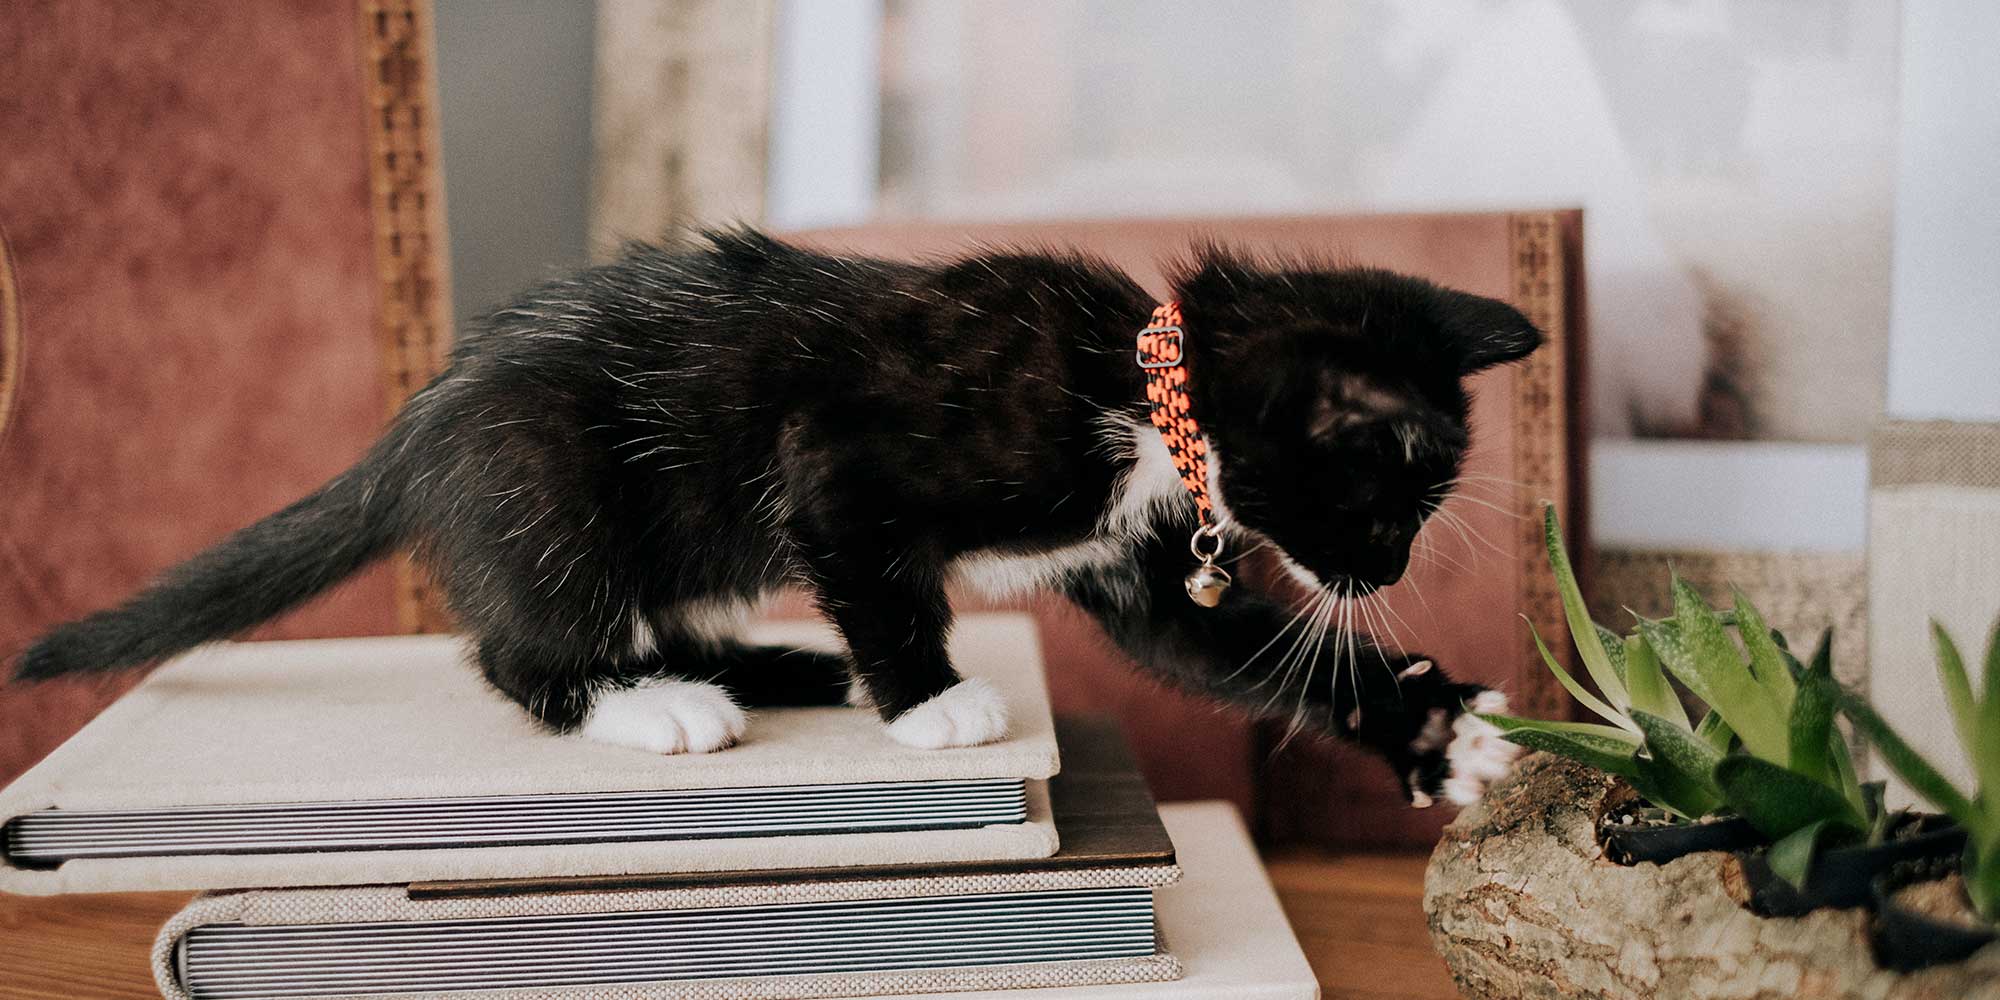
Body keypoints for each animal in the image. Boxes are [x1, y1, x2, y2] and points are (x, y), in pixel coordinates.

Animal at [15, 232, 1528, 804]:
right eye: (1388, 502)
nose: (1383, 571)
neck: (1139, 389)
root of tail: (418, 425)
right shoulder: (842, 458)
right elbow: (878, 570)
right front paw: (930, 699)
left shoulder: (1145, 565)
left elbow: (1228, 650)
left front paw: (1434, 727)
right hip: (548, 479)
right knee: (525, 641)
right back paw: (654, 703)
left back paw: (778, 668)